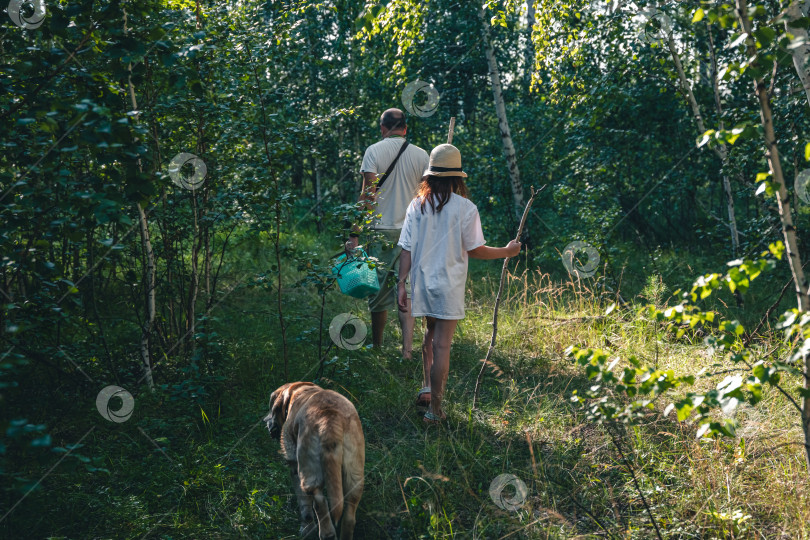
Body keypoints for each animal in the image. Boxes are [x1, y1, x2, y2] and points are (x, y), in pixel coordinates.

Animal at [264, 382, 364, 536]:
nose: (266, 421)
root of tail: (330, 420)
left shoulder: (294, 466)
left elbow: (304, 504)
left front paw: (306, 528)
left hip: (309, 471)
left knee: (319, 503)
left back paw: (325, 533)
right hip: (354, 475)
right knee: (349, 514)